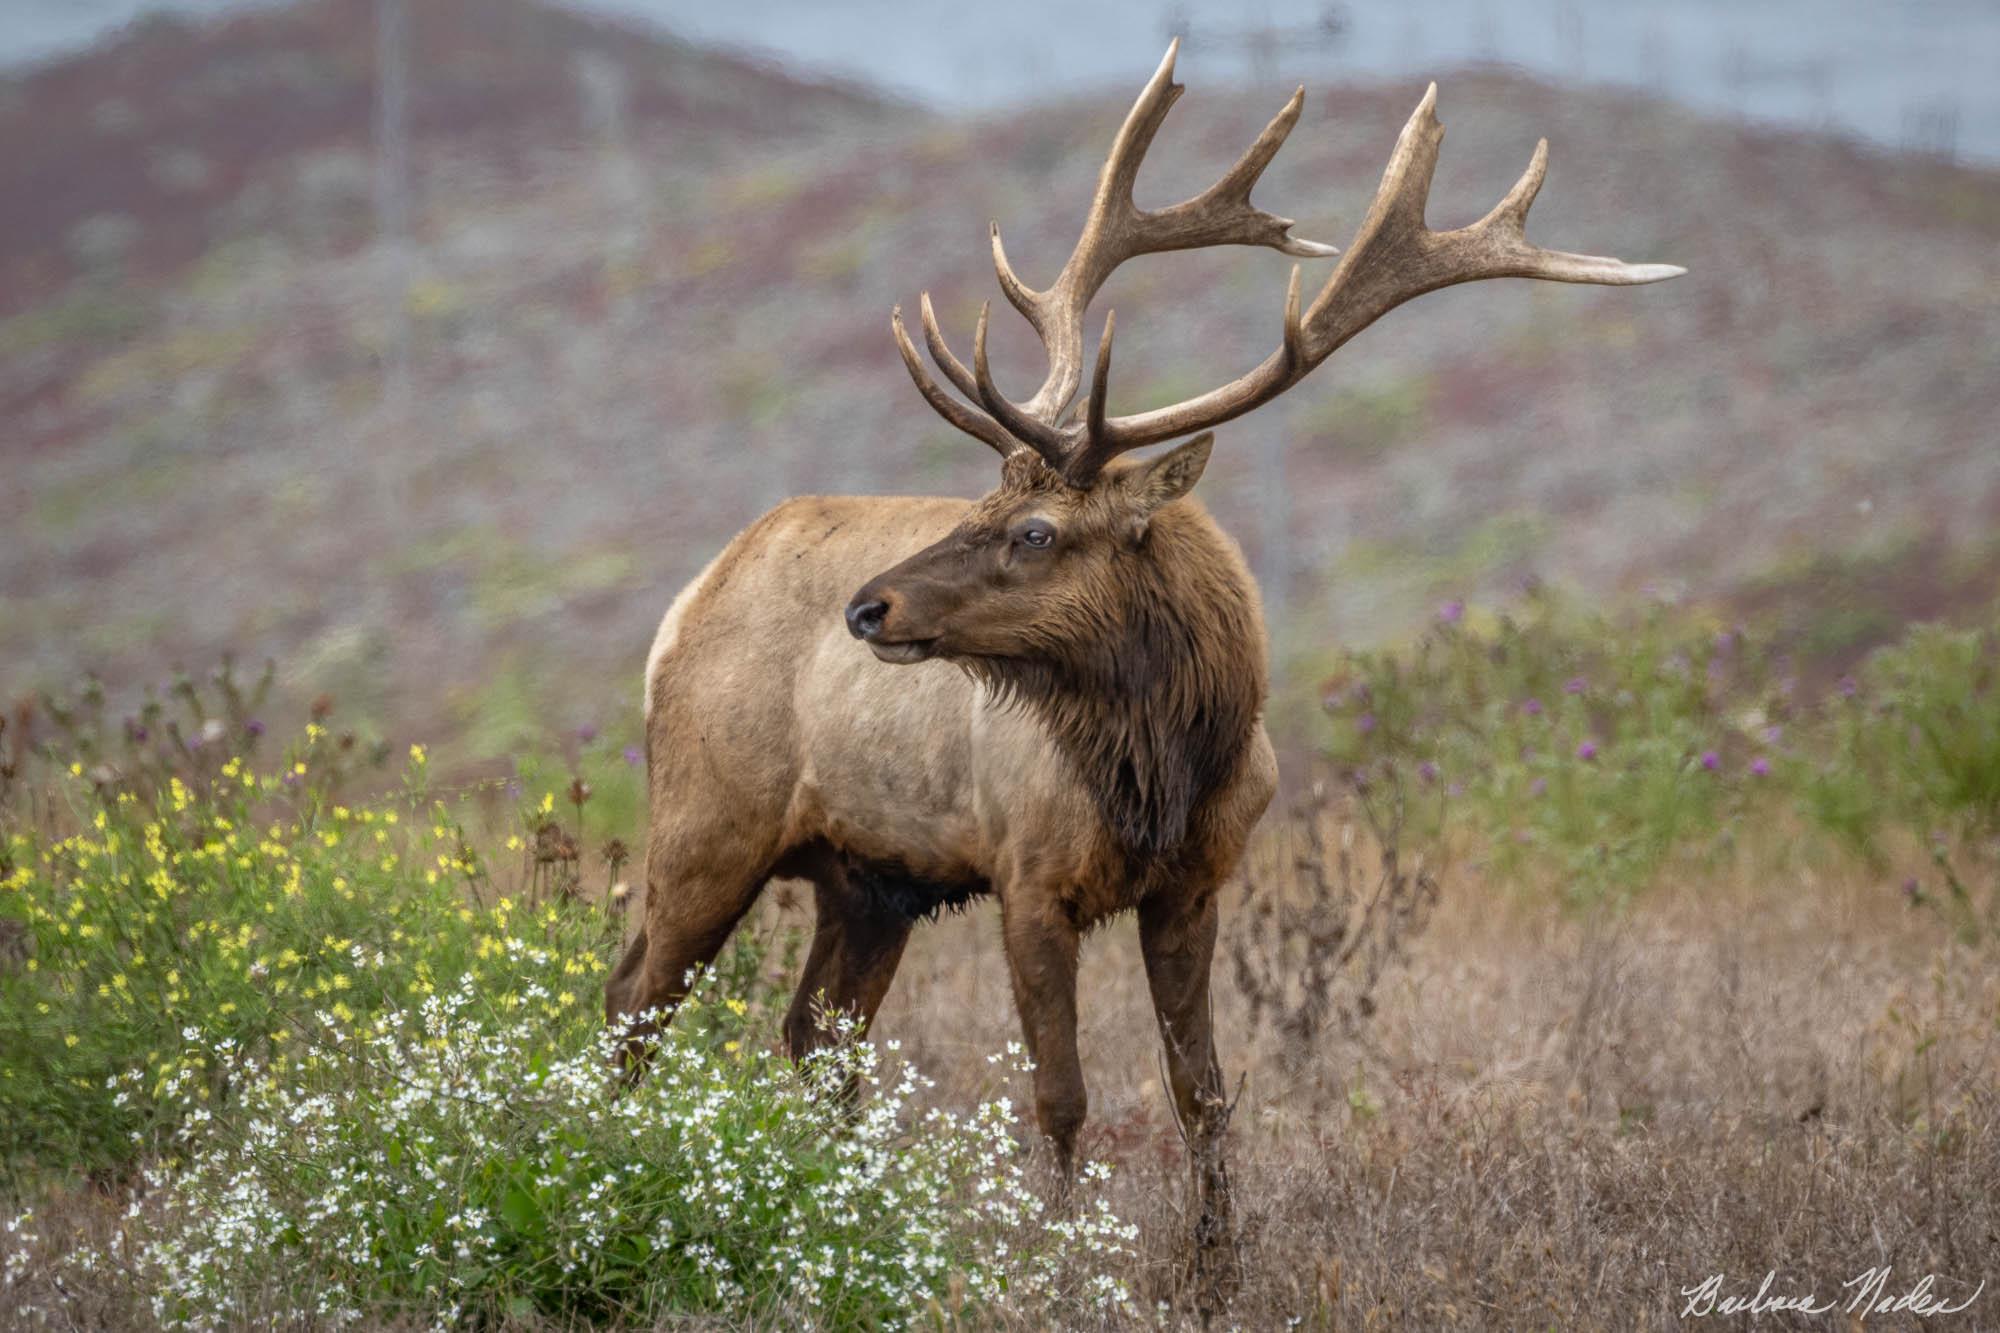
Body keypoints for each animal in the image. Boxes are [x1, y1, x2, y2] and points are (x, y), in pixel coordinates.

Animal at [604, 44, 1672, 1232]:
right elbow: (1061, 1096)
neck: (1158, 770)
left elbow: (1200, 1090)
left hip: (868, 876)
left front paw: (1216, 1247)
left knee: (813, 1039)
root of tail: (687, 602)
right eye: (982, 502)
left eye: (1032, 528)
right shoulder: (1026, 874)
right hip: (708, 816)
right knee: (633, 999)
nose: (867, 607)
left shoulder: (1195, 882)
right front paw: (1058, 1244)